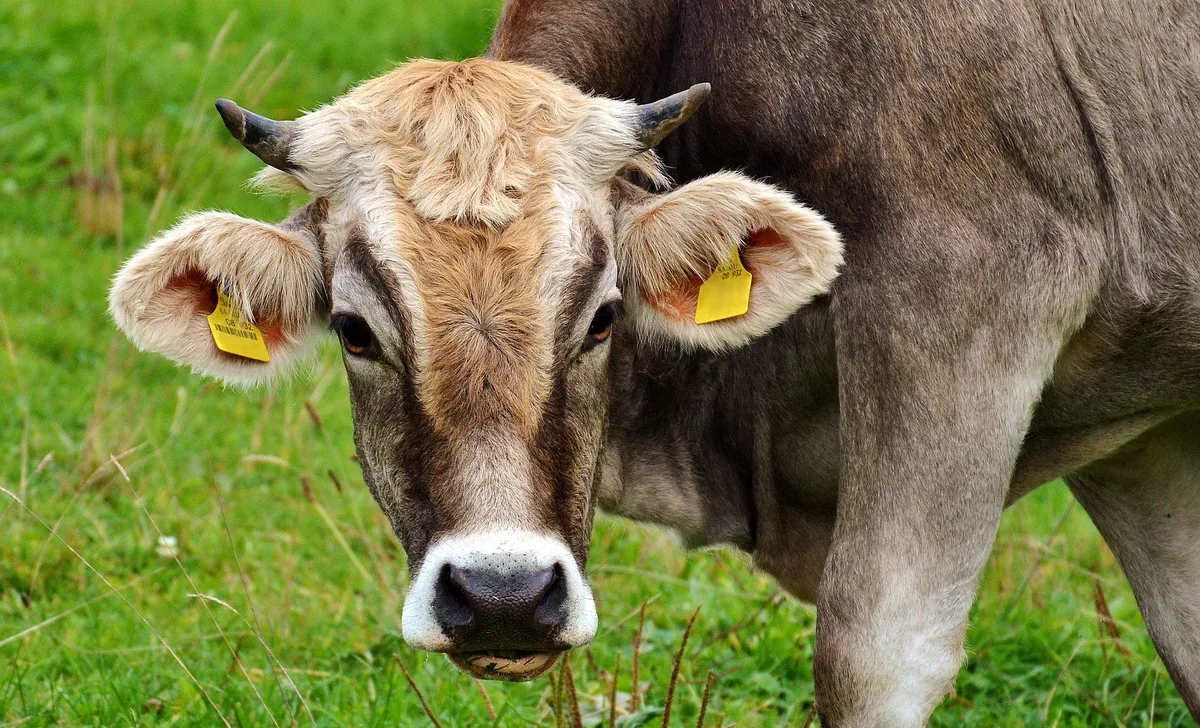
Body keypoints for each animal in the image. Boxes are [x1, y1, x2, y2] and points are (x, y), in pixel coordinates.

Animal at [108, 0, 1200, 724]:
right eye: (354, 328)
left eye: (601, 318)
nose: (502, 597)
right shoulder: (1142, 426)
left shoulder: (965, 304)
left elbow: (874, 652)